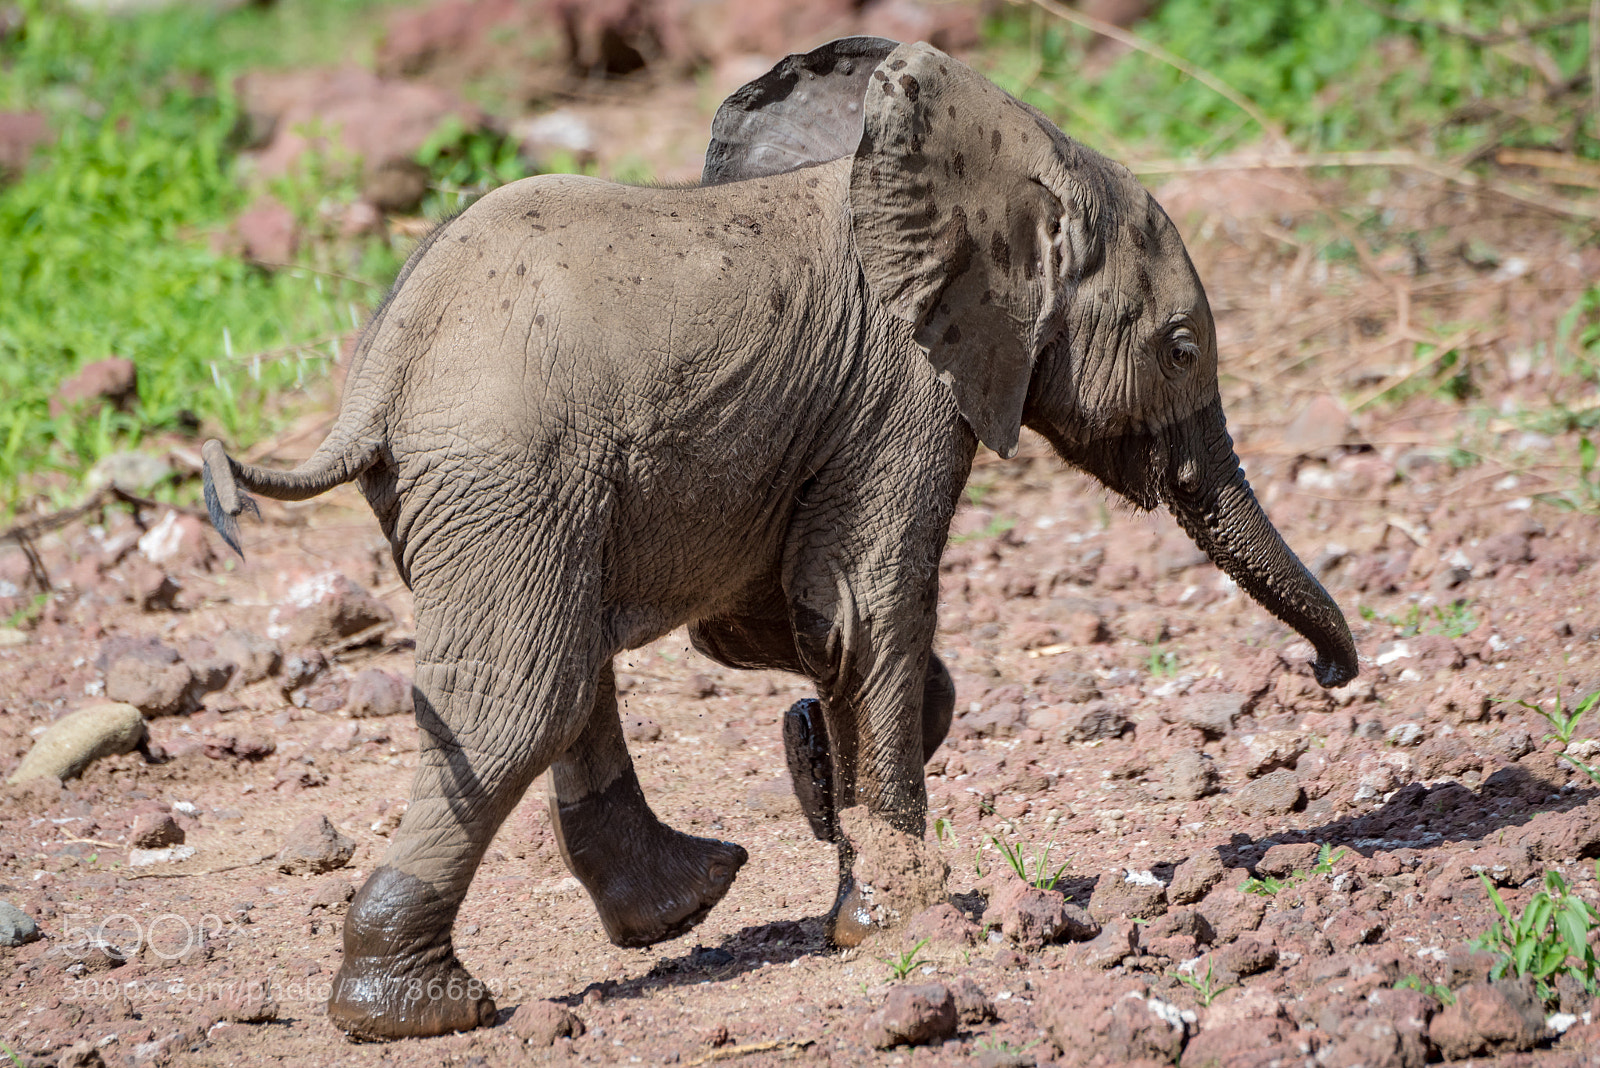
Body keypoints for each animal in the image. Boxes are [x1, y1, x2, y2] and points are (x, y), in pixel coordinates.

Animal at [196, 37, 1350, 1036]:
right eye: (1181, 346)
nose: (1334, 674)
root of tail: (378, 376)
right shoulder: (905, 388)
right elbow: (862, 609)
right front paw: (900, 919)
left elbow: (789, 624)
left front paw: (815, 774)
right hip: (511, 467)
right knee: (525, 695)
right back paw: (422, 1012)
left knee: (567, 661)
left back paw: (680, 904)